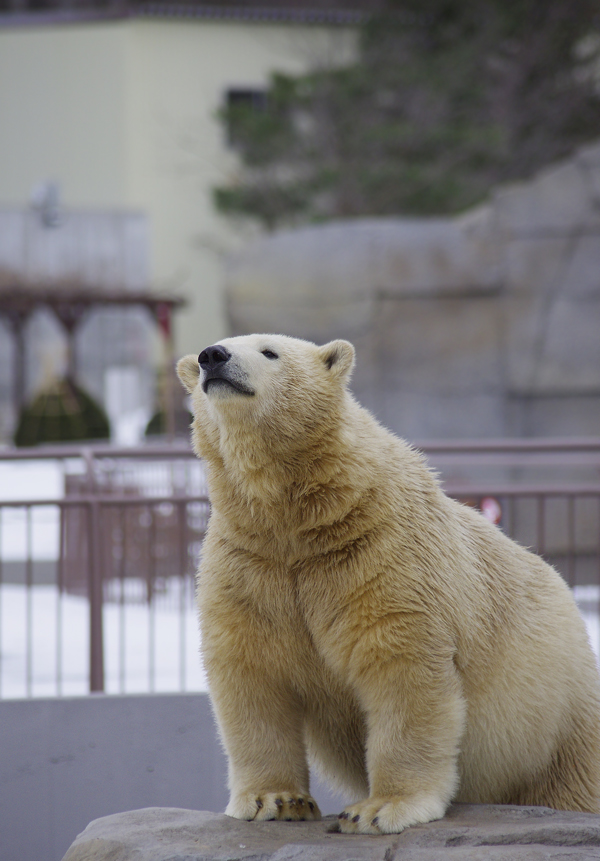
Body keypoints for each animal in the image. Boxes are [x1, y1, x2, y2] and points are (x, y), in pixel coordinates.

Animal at [177, 332, 600, 828]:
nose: (213, 357)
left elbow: (402, 669)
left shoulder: (384, 552)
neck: (301, 518)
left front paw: (381, 809)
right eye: (210, 350)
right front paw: (274, 800)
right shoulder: (251, 563)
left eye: (269, 351)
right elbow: (252, 675)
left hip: (563, 726)